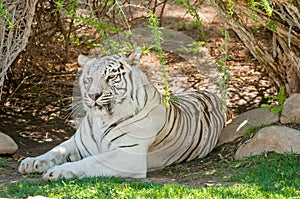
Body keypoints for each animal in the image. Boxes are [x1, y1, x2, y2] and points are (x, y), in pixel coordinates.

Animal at [18, 47, 225, 180]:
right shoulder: (76, 143)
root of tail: (211, 94)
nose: (93, 95)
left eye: (110, 77)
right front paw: (31, 162)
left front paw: (58, 172)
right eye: (89, 79)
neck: (102, 120)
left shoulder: (129, 154)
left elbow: (90, 162)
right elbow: (55, 151)